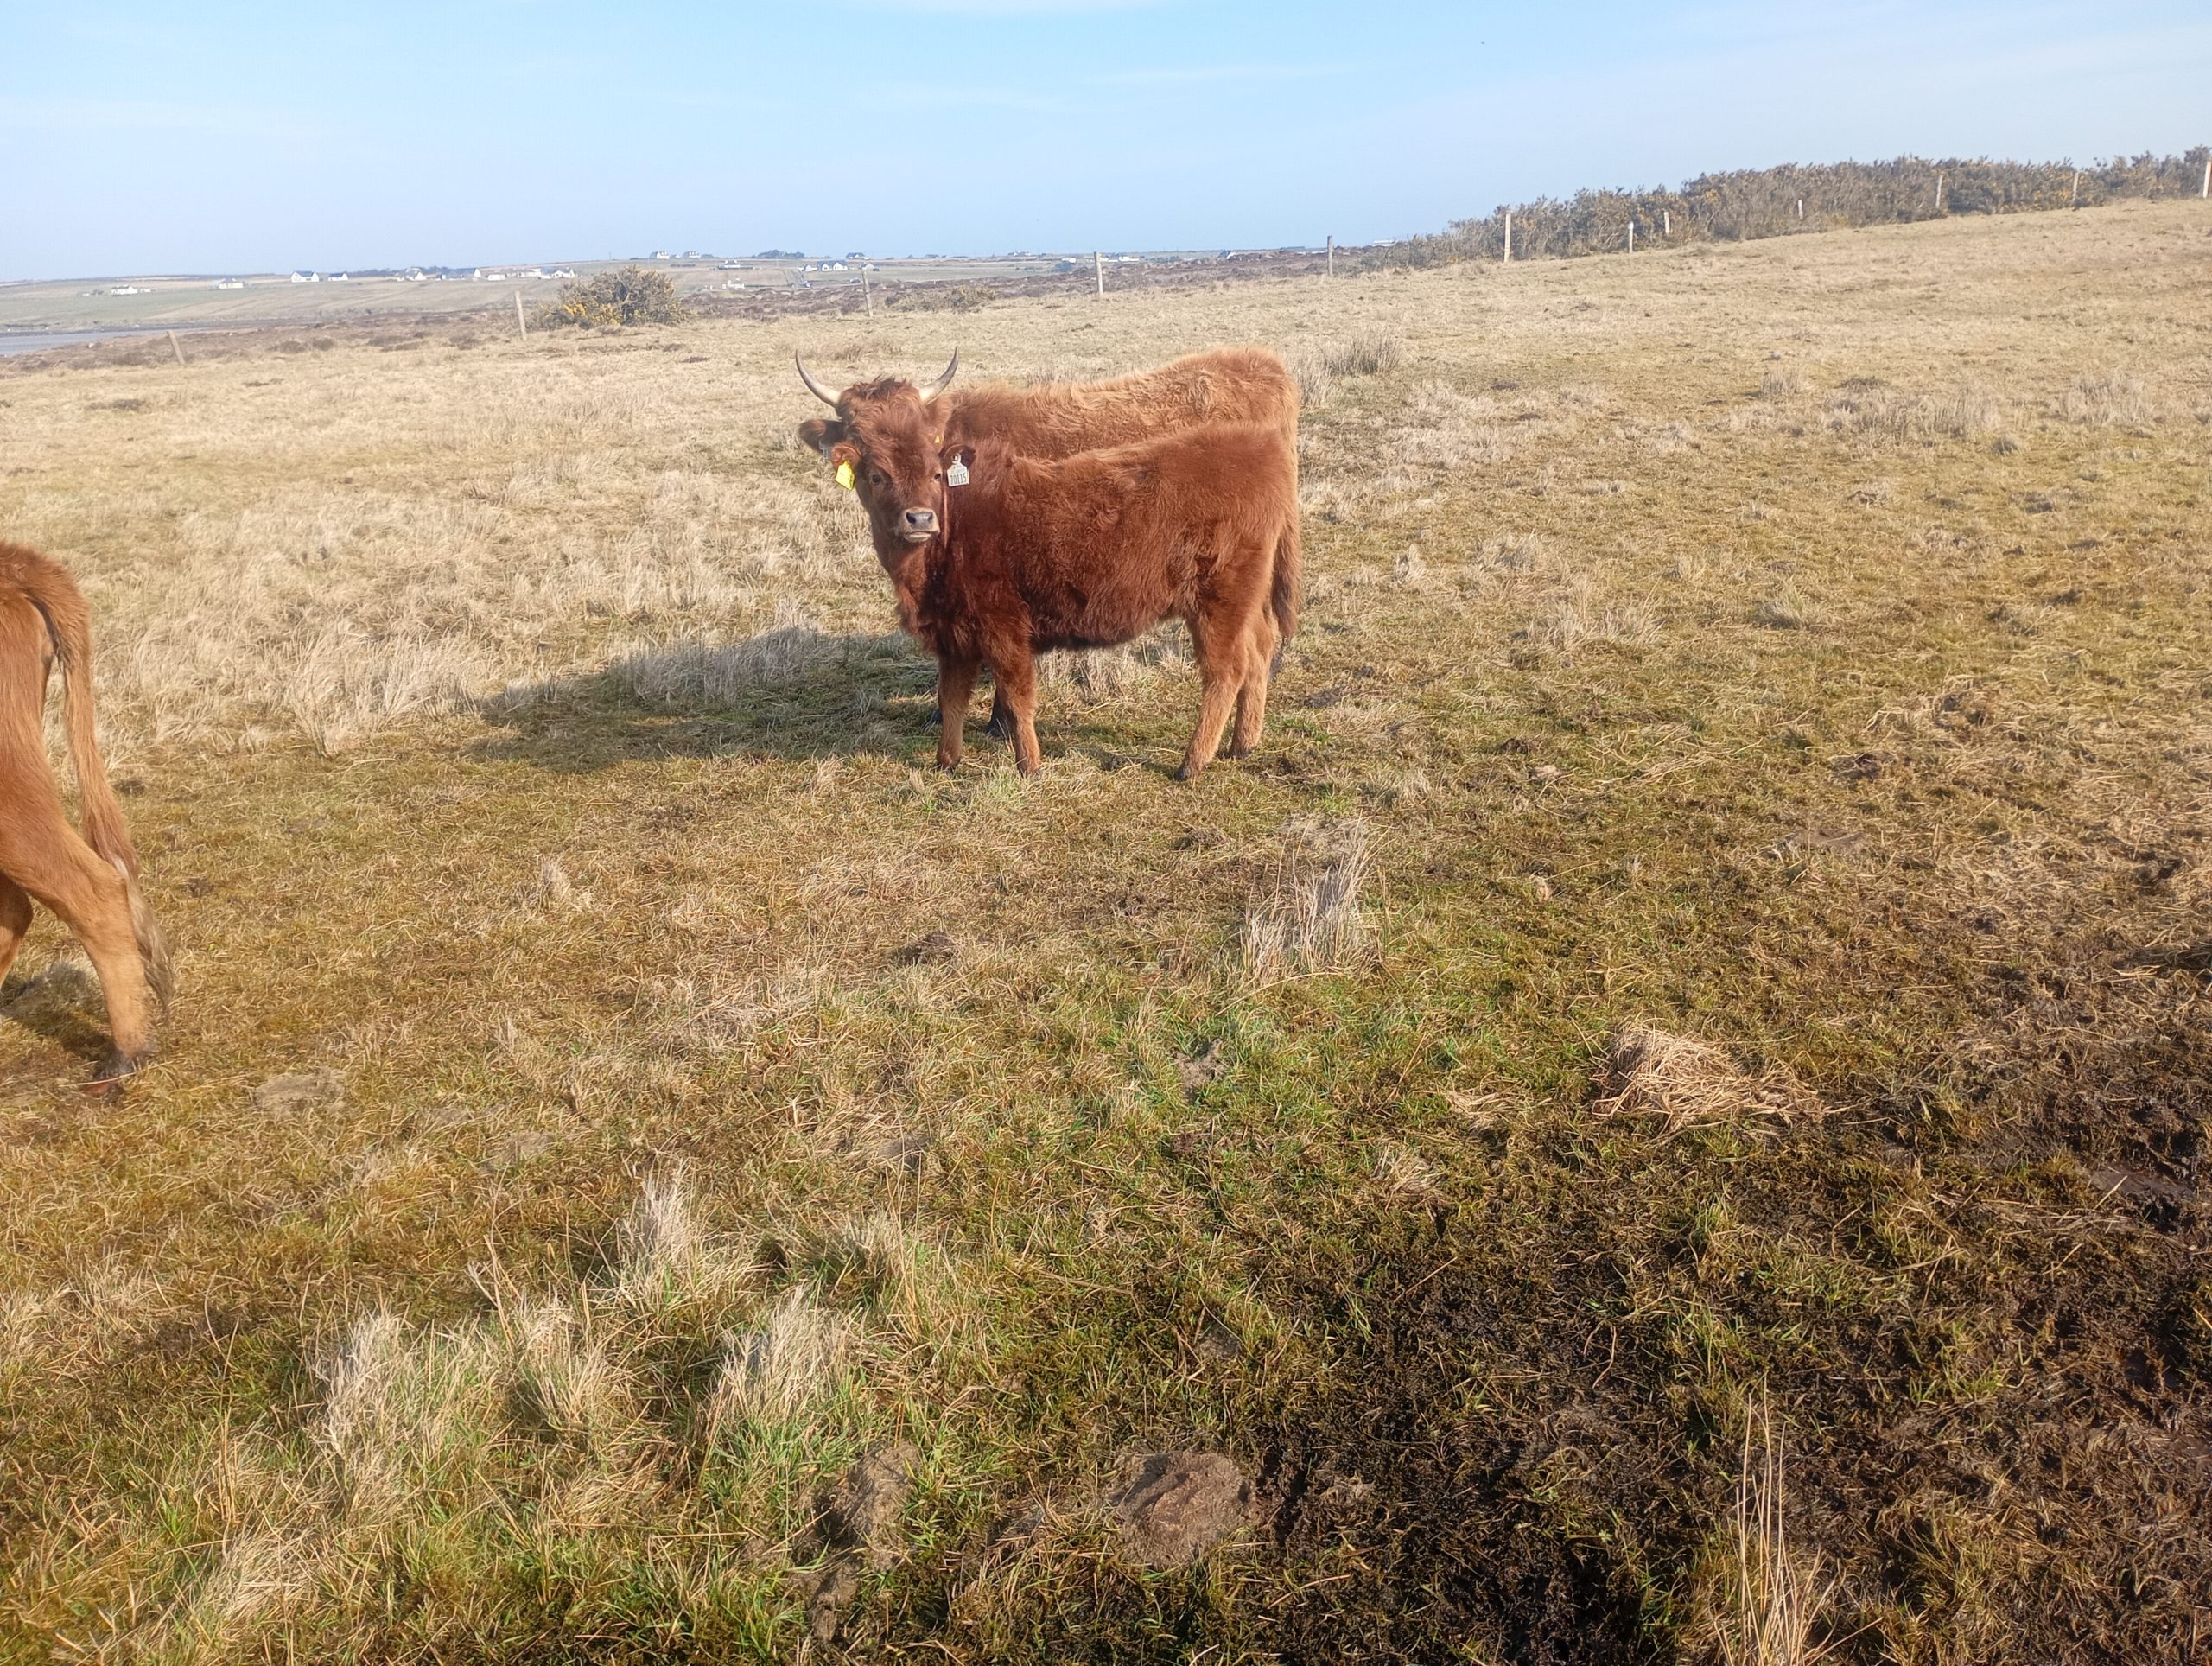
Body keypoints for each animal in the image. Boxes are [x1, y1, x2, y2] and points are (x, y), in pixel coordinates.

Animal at [819, 418, 1297, 778]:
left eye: (936, 475)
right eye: (877, 476)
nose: (919, 518)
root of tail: (1259, 443)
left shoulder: (1003, 627)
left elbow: (1016, 696)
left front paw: (1029, 765)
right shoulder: (954, 636)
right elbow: (951, 697)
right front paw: (946, 762)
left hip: (1219, 601)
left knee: (1225, 671)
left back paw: (1192, 763)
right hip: (1244, 602)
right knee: (1259, 651)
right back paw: (1243, 744)